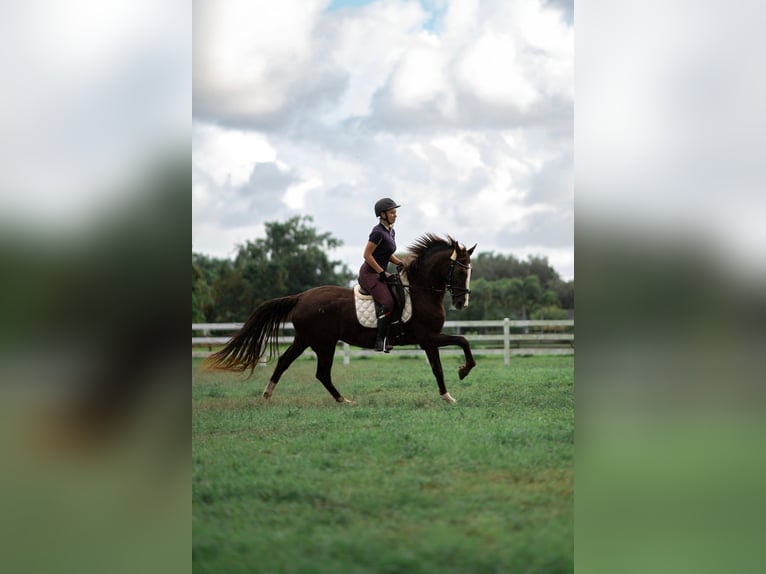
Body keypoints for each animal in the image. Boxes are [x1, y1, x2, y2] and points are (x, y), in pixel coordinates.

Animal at [202, 234, 477, 404]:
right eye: (459, 270)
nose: (462, 303)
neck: (420, 291)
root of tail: (301, 297)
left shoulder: (429, 340)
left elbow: (437, 368)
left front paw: (447, 397)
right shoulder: (428, 336)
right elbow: (463, 340)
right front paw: (464, 371)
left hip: (304, 339)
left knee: (284, 362)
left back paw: (267, 395)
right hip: (324, 343)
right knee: (322, 373)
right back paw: (343, 400)